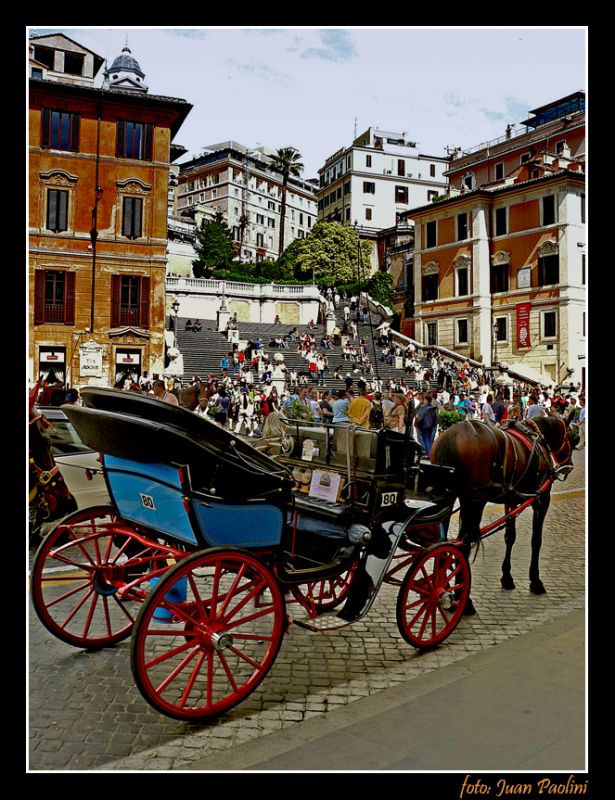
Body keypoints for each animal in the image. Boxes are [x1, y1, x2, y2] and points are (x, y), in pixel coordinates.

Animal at [430, 412, 576, 612]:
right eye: (571, 437)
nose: (569, 465)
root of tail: (452, 436)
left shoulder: (511, 500)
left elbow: (510, 536)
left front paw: (507, 577)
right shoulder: (541, 499)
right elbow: (536, 540)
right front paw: (536, 581)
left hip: (445, 497)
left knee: (442, 543)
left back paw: (443, 590)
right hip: (475, 500)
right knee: (464, 543)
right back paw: (463, 602)